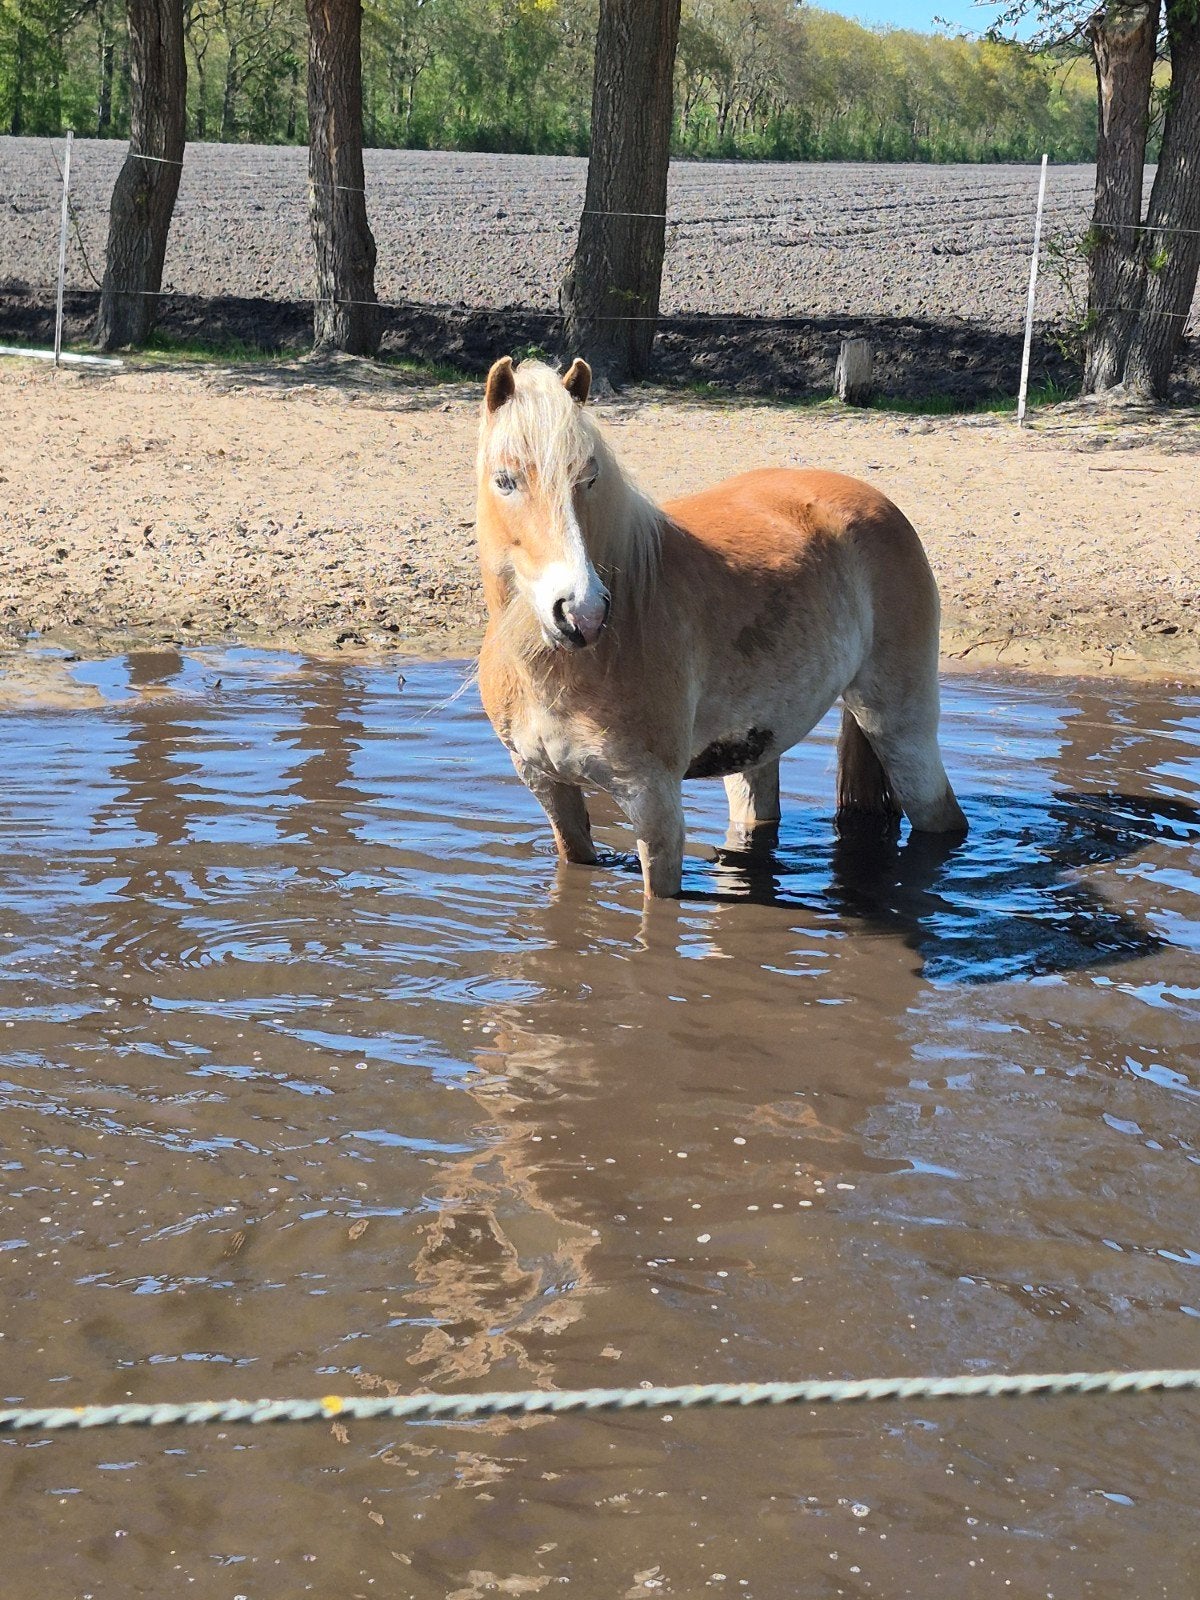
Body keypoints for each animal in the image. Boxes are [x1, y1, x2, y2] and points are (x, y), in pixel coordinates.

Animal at [475, 355, 967, 899]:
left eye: (590, 478)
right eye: (504, 480)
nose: (581, 612)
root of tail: (876, 501)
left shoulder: (654, 805)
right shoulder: (550, 791)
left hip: (901, 729)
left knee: (941, 814)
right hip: (756, 748)